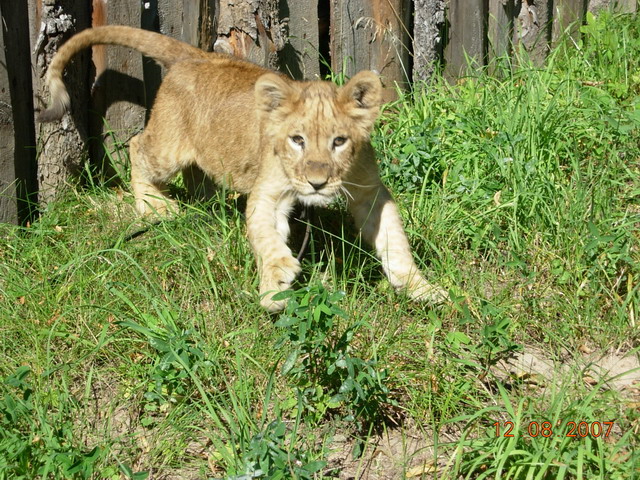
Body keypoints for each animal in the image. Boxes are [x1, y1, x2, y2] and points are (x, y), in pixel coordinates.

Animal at [40, 26, 447, 311]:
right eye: (297, 140)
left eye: (339, 141)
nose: (316, 184)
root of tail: (193, 55)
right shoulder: (269, 192)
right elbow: (265, 237)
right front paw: (275, 283)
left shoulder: (370, 192)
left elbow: (395, 240)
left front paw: (421, 288)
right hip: (167, 148)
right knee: (139, 147)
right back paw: (156, 206)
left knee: (196, 172)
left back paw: (205, 205)